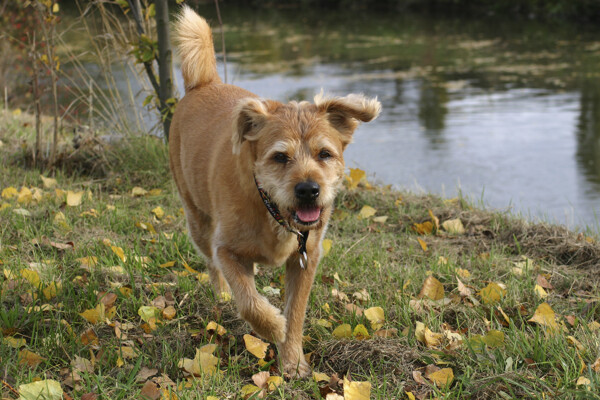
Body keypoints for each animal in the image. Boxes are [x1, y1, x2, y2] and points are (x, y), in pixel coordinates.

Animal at [169, 4, 382, 376]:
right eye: (280, 157)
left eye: (325, 154)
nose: (309, 189)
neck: (270, 209)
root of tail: (205, 83)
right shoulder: (227, 250)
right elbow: (249, 302)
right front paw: (272, 326)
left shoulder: (306, 259)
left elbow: (296, 312)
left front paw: (293, 361)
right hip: (197, 220)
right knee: (212, 266)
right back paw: (222, 297)